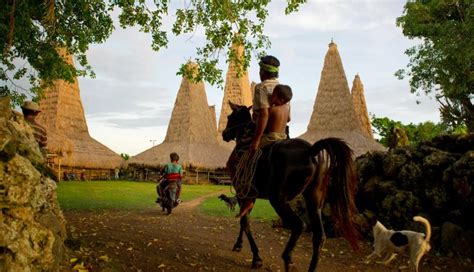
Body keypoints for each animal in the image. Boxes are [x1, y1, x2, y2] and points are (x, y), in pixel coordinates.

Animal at [222, 102, 360, 272]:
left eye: (230, 117)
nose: (224, 133)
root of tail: (310, 150)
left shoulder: (244, 193)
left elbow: (245, 222)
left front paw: (255, 256)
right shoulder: (248, 196)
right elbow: (244, 220)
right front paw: (239, 245)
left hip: (278, 200)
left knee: (299, 225)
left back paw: (287, 258)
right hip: (314, 200)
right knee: (319, 236)